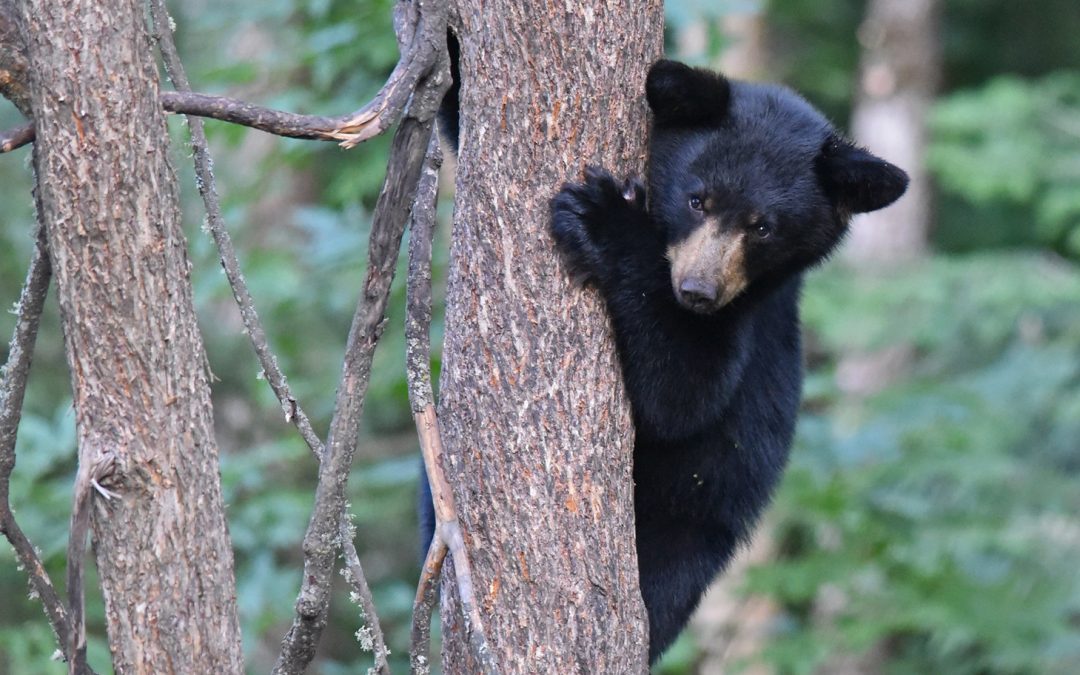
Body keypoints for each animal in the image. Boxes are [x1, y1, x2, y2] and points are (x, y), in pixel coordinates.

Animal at [547, 60, 908, 662]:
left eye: (762, 226)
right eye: (699, 199)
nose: (697, 291)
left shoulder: (747, 316)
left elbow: (683, 394)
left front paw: (602, 217)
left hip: (689, 525)